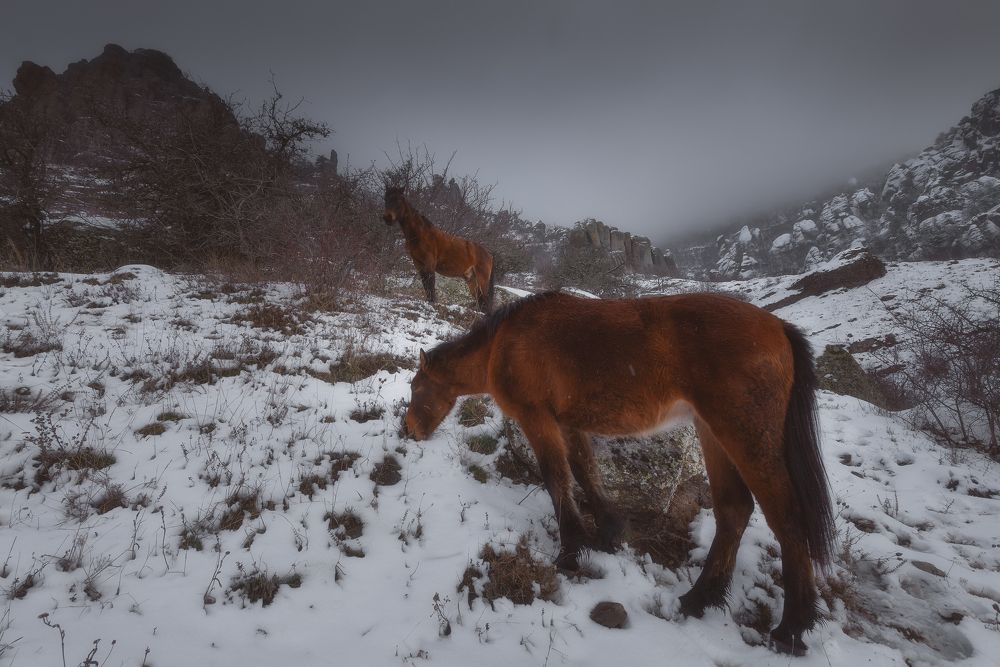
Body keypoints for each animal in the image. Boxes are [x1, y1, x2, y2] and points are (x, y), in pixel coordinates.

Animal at [403, 291, 835, 656]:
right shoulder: (568, 422)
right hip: (713, 434)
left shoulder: (537, 418)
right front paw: (607, 532)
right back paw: (699, 599)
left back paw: (791, 628)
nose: (410, 430)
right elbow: (585, 471)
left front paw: (570, 551)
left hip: (745, 436)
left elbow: (557, 479)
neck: (502, 345)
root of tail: (778, 327)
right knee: (734, 511)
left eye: (415, 387)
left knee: (787, 519)